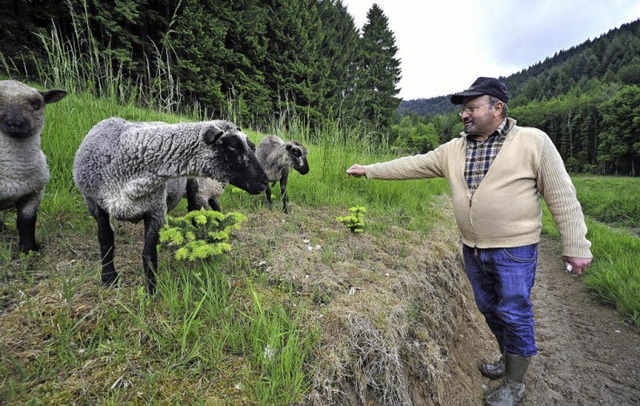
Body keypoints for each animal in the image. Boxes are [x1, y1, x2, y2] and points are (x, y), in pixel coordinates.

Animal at [73, 119, 268, 294]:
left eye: (250, 146)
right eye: (233, 146)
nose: (264, 182)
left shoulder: (155, 209)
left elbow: (148, 253)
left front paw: (151, 292)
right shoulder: (94, 205)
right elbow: (106, 240)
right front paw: (109, 279)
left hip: (193, 187)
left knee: (197, 213)